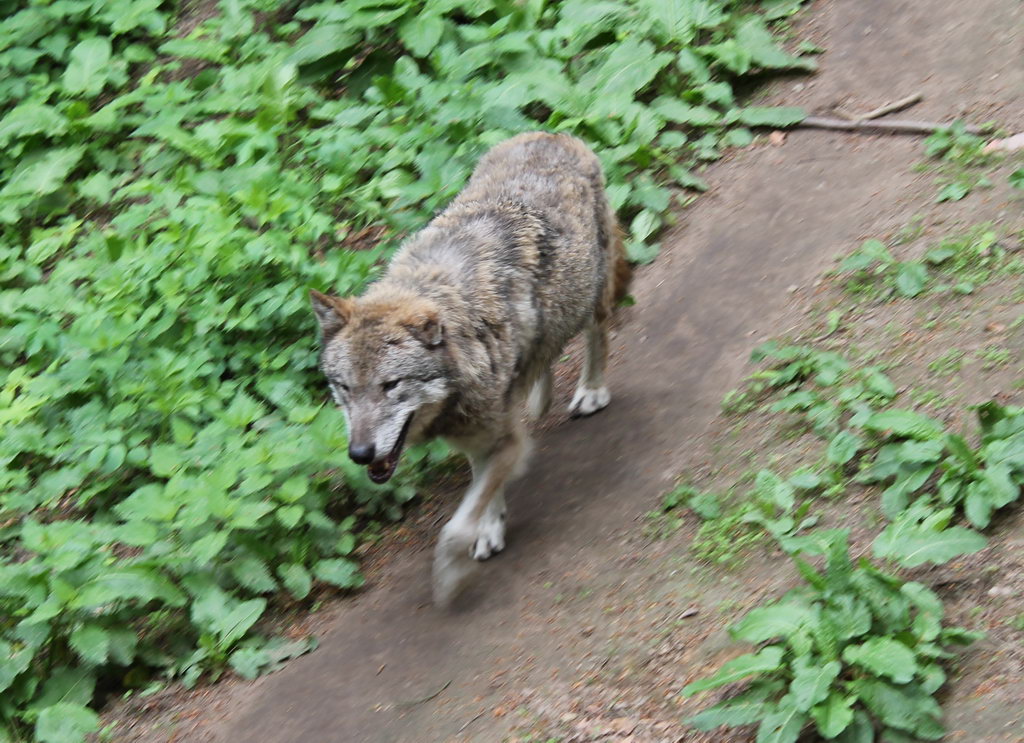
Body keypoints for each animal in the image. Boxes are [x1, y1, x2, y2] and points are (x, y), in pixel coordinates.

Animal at [309, 132, 630, 609]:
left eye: (390, 385)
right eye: (345, 388)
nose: (360, 454)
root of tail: (551, 134)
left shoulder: (501, 441)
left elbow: (454, 529)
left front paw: (451, 574)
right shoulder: (479, 439)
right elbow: (483, 493)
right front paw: (491, 528)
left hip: (590, 294)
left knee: (596, 332)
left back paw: (591, 391)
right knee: (543, 358)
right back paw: (538, 396)